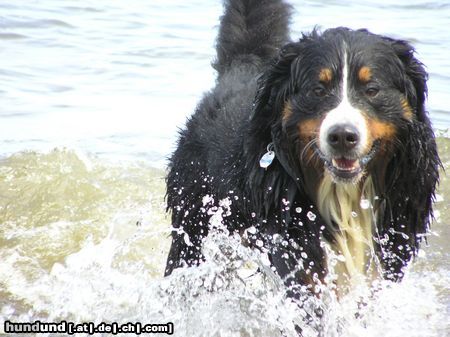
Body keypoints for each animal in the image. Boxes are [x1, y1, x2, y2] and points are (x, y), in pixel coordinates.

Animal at [164, 0, 440, 294]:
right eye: (318, 90)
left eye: (372, 89)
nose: (342, 136)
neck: (345, 194)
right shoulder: (295, 240)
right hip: (193, 227)